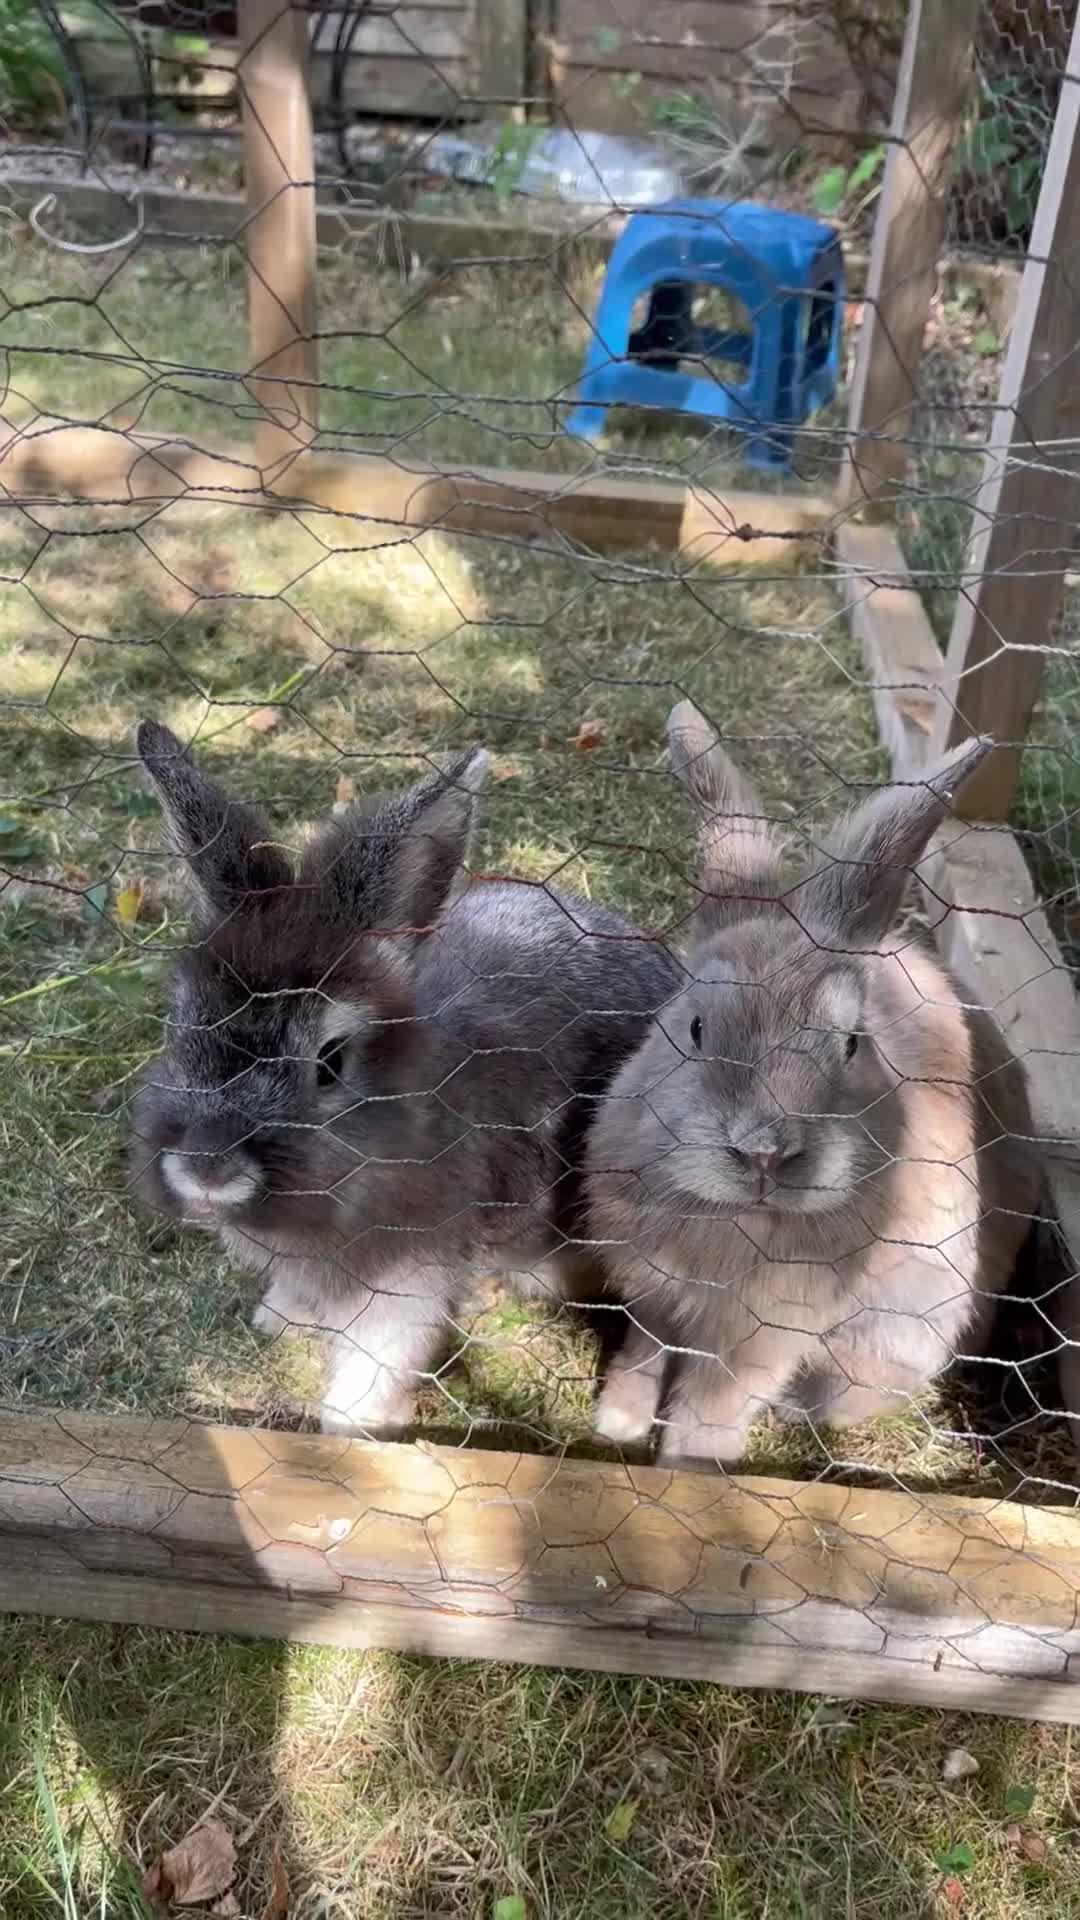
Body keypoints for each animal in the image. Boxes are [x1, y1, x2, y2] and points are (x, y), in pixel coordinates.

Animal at [128, 720, 681, 1435]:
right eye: (178, 1023)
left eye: (330, 1062)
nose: (206, 1169)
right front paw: (281, 1318)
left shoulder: (408, 1275)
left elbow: (383, 1356)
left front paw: (352, 1429)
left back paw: (620, 1419)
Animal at [584, 702, 1041, 1468]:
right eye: (695, 1027)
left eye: (852, 1043)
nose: (765, 1152)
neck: (738, 1220)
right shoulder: (656, 1296)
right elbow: (644, 1354)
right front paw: (615, 1423)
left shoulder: (759, 1341)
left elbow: (713, 1403)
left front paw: (689, 1465)